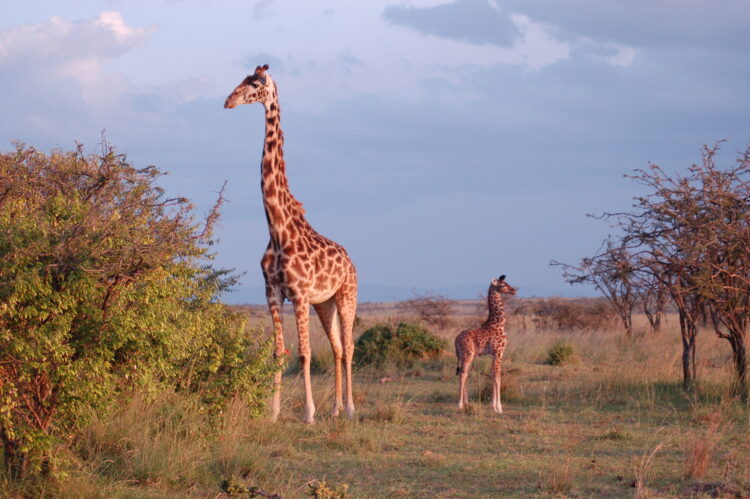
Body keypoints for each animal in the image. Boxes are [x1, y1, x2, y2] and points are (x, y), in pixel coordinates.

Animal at [458, 276, 516, 412]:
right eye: (502, 285)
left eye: (507, 283)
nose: (514, 290)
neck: (499, 324)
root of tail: (455, 340)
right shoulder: (499, 351)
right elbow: (497, 375)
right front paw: (498, 408)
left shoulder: (495, 353)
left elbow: (493, 374)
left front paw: (494, 406)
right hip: (467, 355)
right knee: (462, 374)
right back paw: (460, 405)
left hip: (467, 356)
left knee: (465, 373)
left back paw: (467, 403)